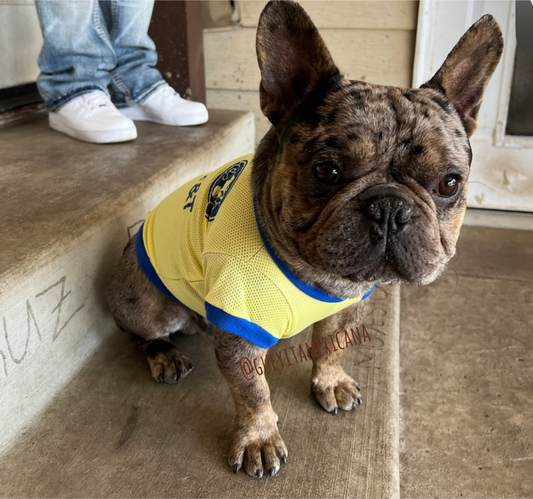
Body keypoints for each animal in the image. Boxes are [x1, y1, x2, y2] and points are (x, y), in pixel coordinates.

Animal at [106, 1, 500, 482]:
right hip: (146, 306)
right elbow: (253, 391)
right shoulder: (239, 331)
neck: (315, 274)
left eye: (449, 184)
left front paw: (330, 382)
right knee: (141, 333)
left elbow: (331, 345)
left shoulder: (346, 307)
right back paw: (165, 355)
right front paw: (258, 438)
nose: (390, 208)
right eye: (326, 171)